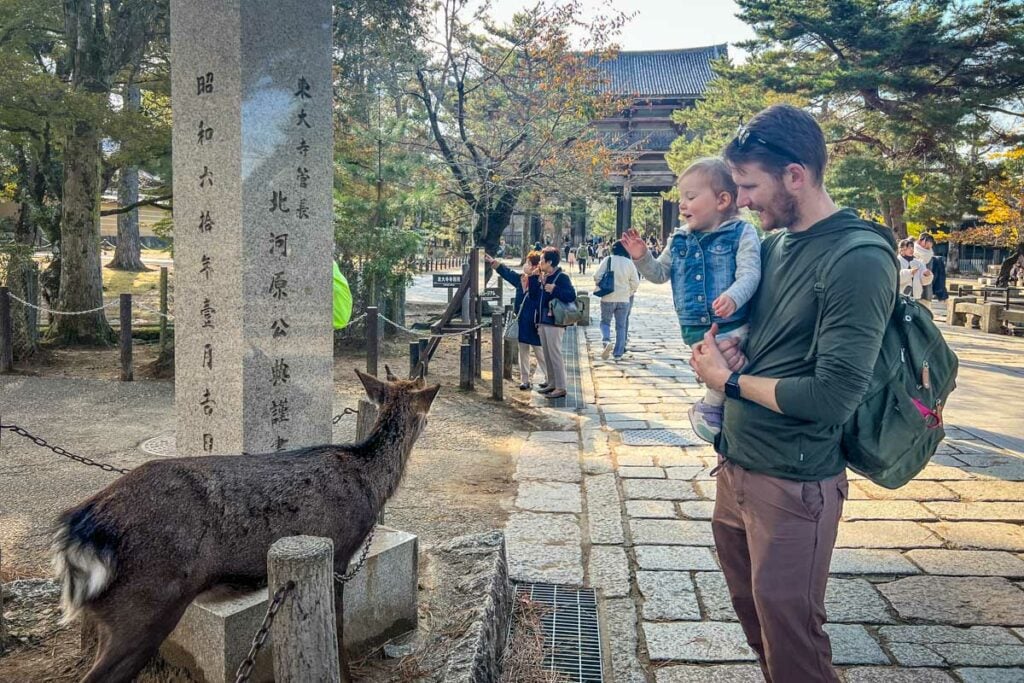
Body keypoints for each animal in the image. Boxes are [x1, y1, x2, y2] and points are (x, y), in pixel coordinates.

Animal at [52, 368, 436, 683]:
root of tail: (80, 527)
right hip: (145, 604)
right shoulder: (338, 551)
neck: (371, 484)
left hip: (115, 613)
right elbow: (337, 628)